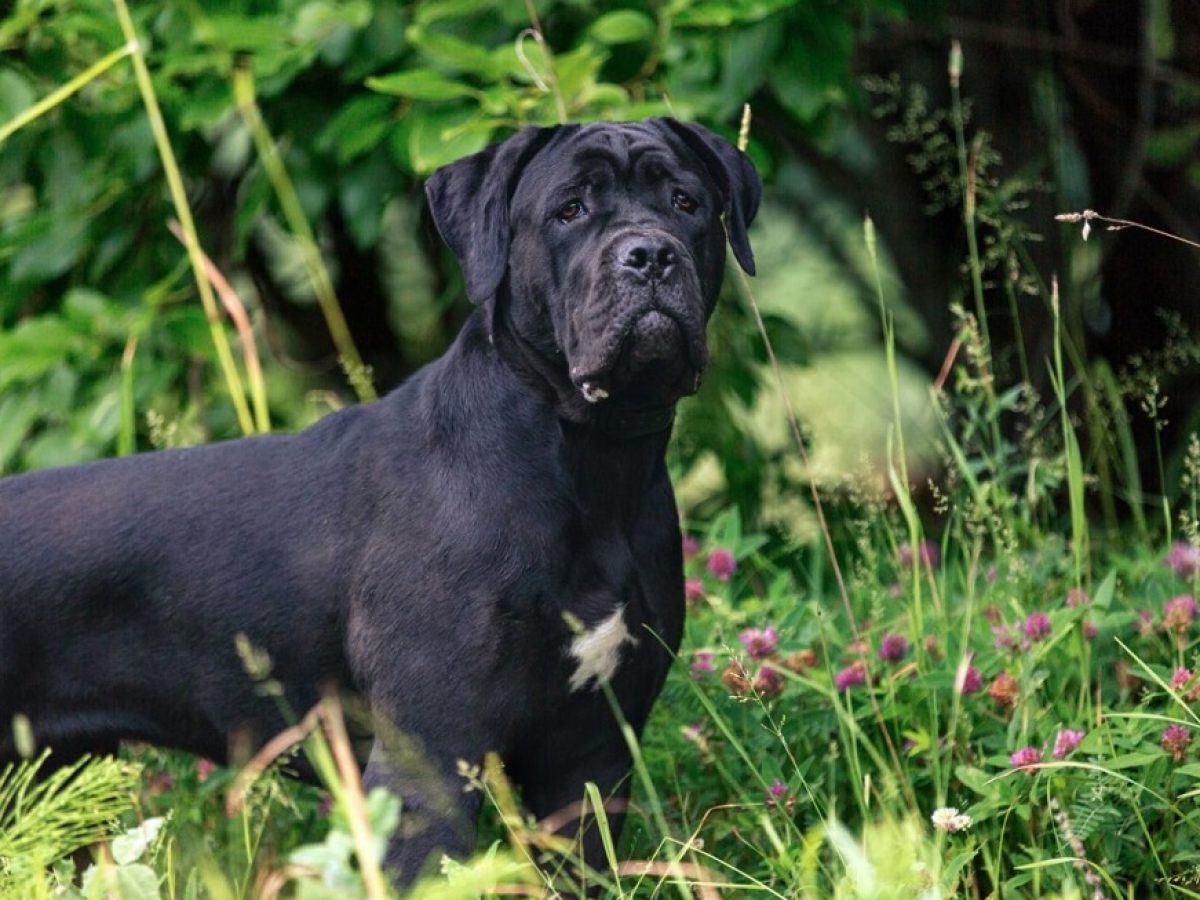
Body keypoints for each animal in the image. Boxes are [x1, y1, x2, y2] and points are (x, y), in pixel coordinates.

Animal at [0, 116, 758, 883]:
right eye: (570, 209)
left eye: (686, 203)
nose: (650, 255)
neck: (592, 459)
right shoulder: (431, 751)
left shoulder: (591, 752)